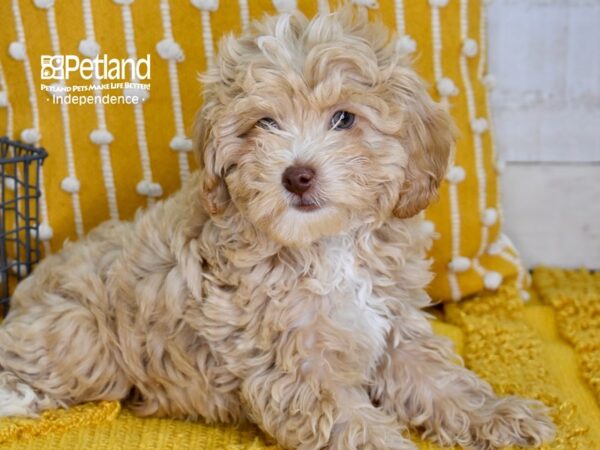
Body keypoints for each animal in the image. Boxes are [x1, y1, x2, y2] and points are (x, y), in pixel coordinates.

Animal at [0, 6, 552, 450]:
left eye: (344, 119)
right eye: (264, 123)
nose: (297, 174)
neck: (326, 247)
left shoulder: (395, 329)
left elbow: (442, 383)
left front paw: (502, 415)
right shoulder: (294, 372)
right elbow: (356, 426)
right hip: (81, 336)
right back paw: (17, 397)